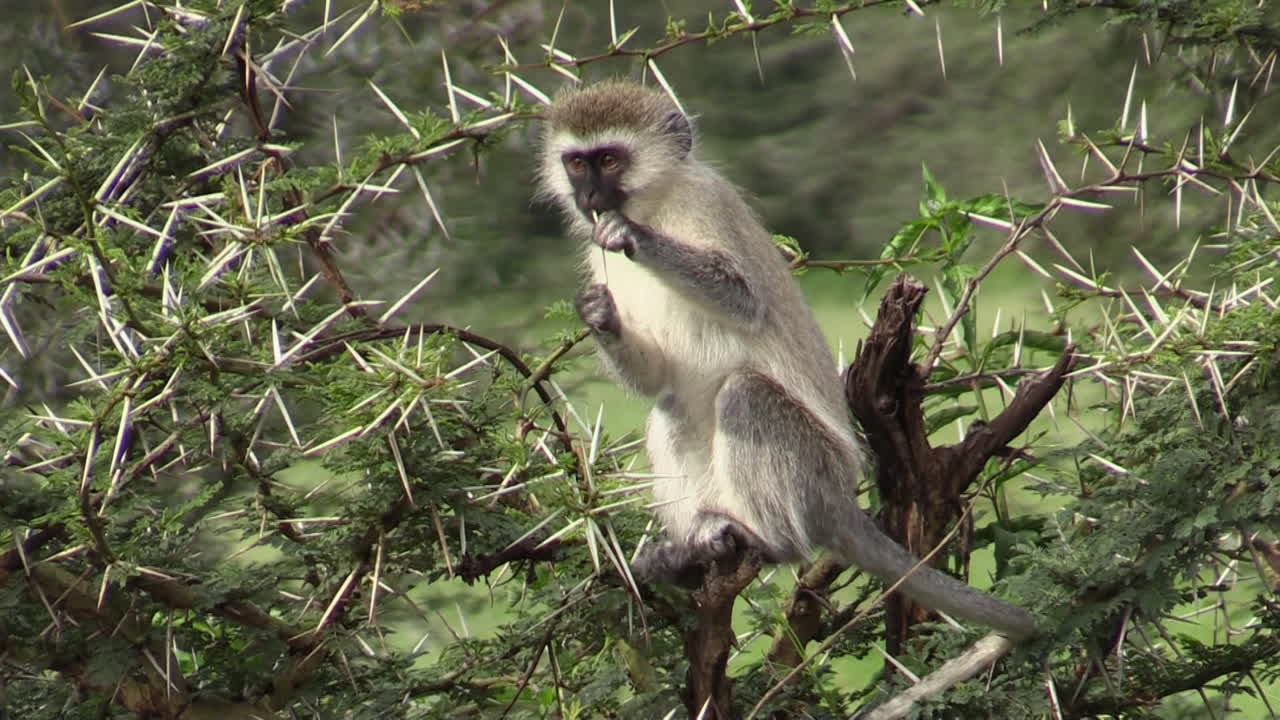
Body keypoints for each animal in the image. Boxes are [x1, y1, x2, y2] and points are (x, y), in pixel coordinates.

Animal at [537, 79, 1035, 642]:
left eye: (609, 159)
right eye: (576, 163)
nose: (589, 198)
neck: (656, 203)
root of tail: (842, 503)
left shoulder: (706, 203)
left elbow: (743, 297)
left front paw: (631, 236)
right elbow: (655, 375)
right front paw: (598, 313)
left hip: (814, 476)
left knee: (744, 395)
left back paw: (770, 542)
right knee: (671, 405)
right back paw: (696, 545)